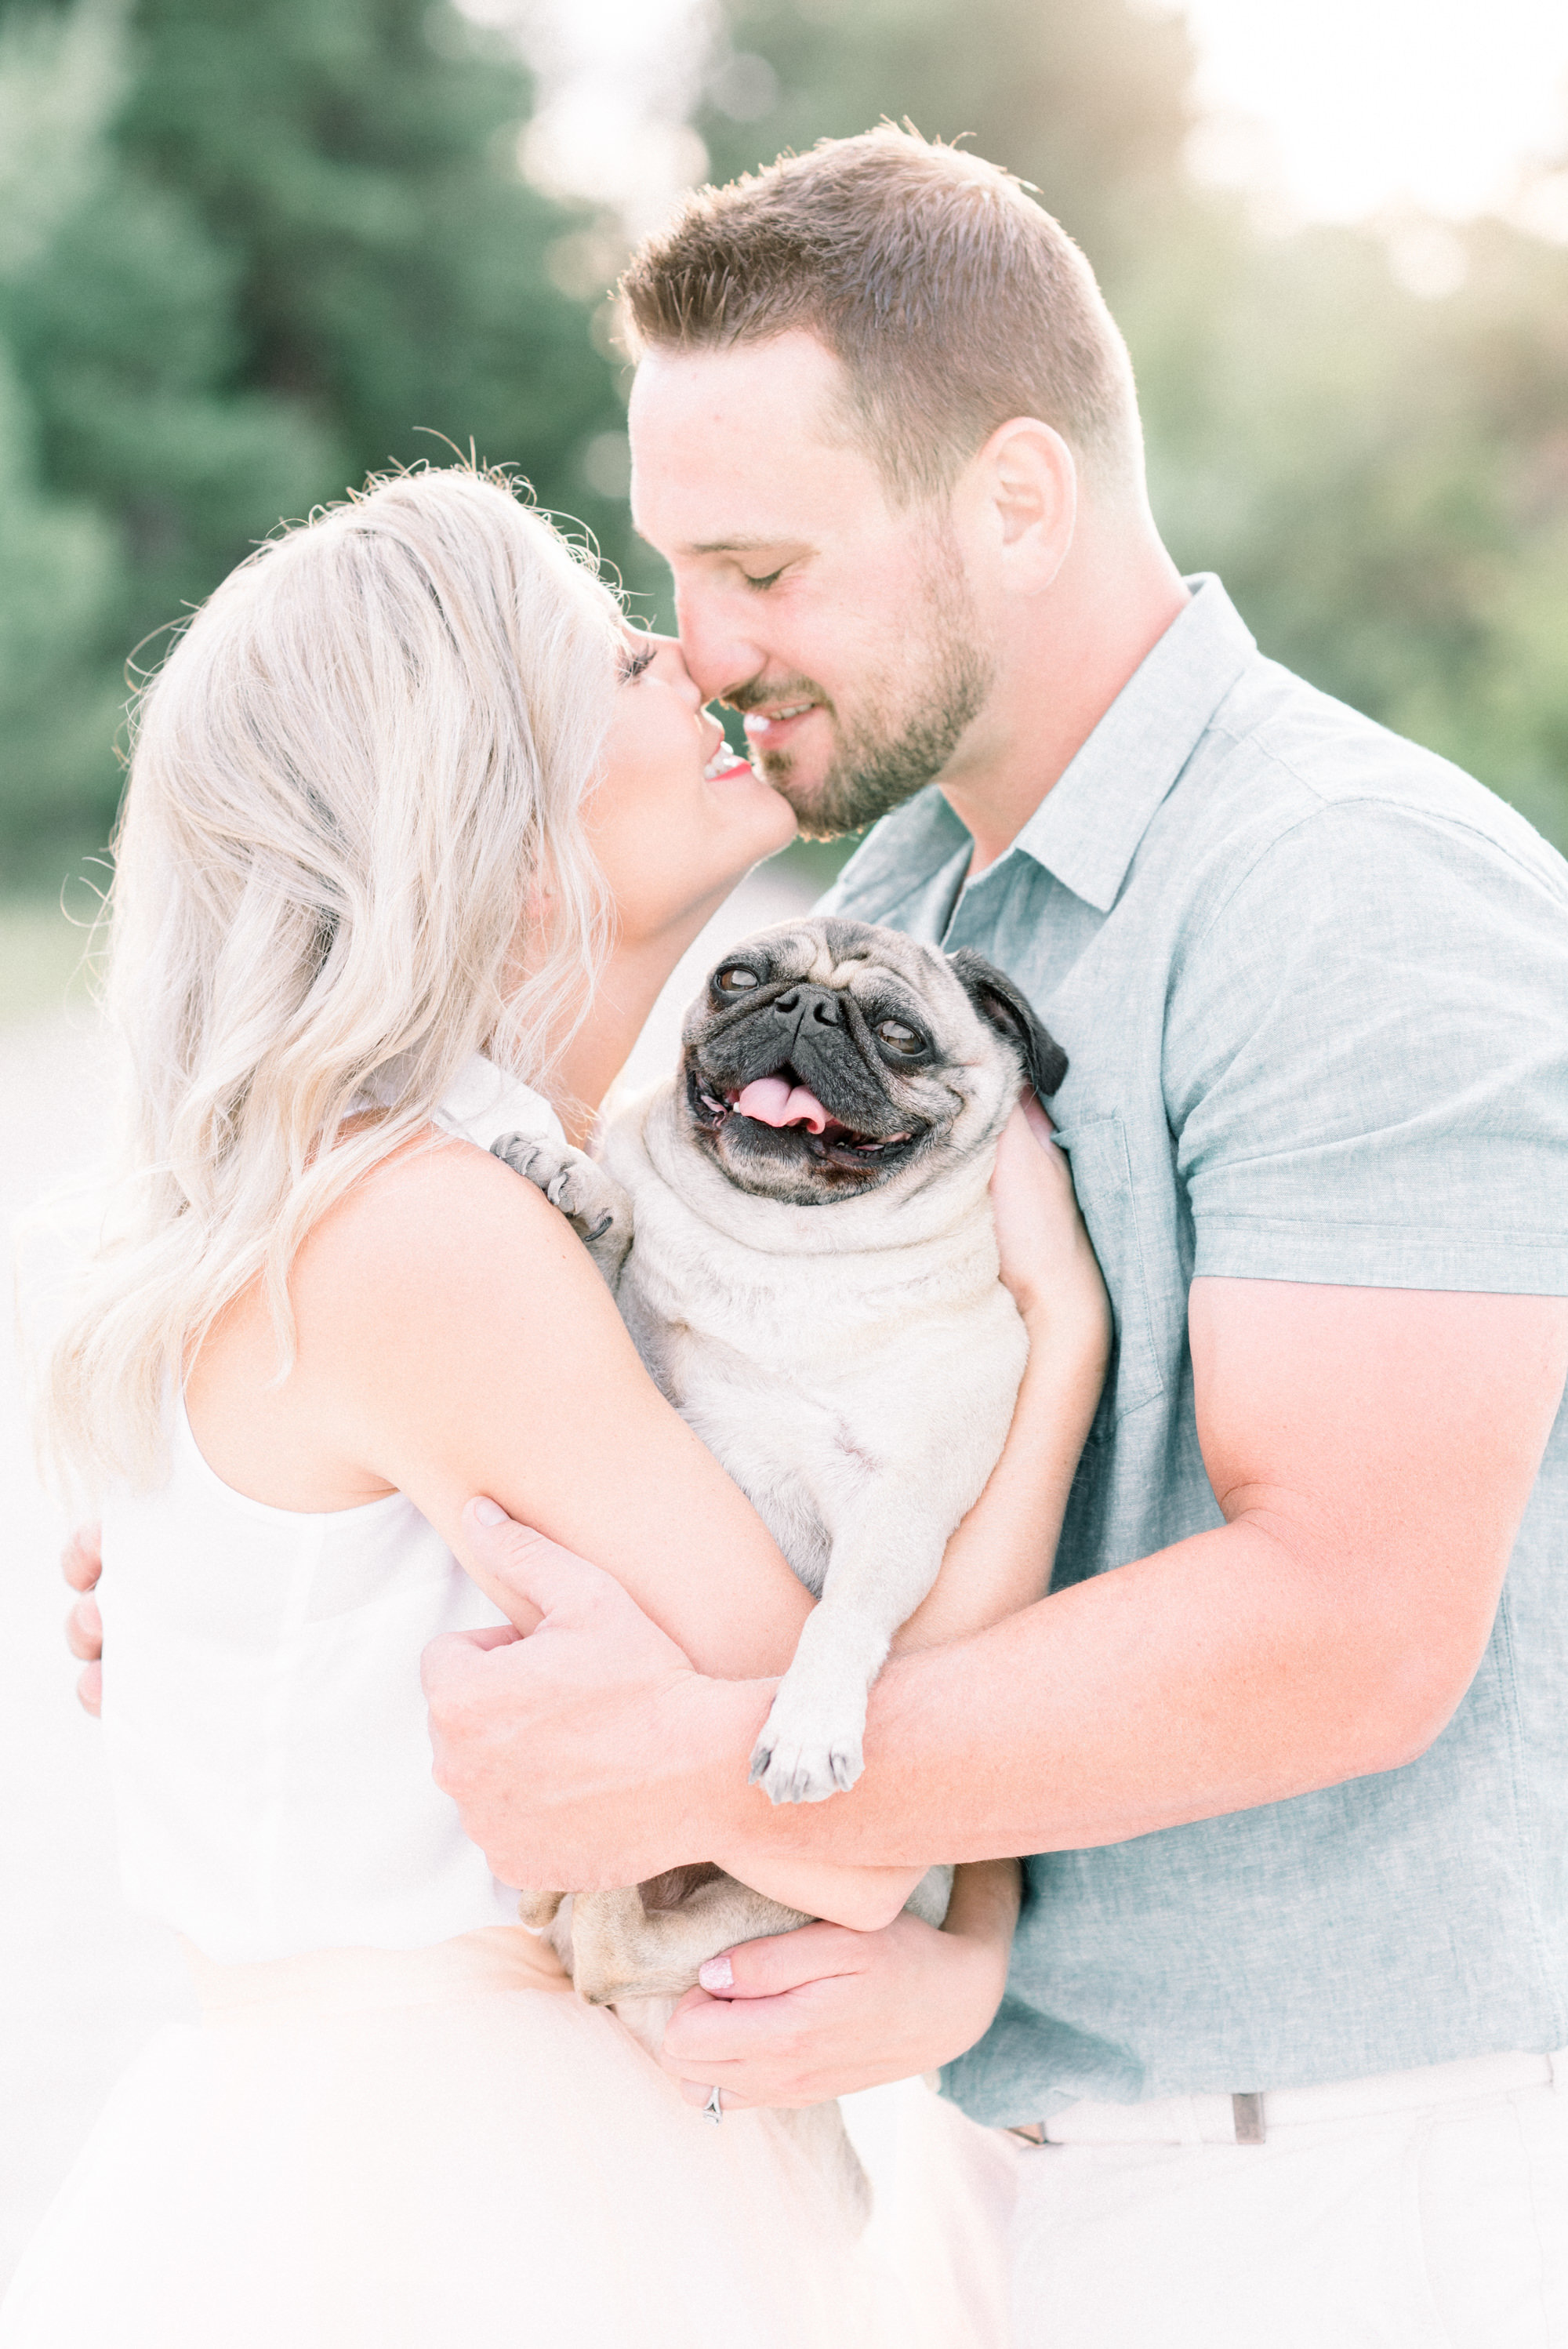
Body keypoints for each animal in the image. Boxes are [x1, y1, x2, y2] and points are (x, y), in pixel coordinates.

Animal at [492, 911, 1065, 2001]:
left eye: (900, 1035)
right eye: (735, 978)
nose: (802, 1006)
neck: (782, 1252)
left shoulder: (898, 1505)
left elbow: (843, 1616)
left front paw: (809, 1725)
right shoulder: (659, 1399)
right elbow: (616, 1275)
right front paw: (581, 1189)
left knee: (615, 1949)